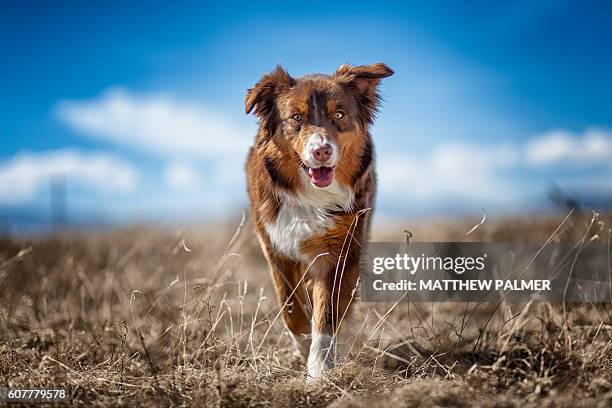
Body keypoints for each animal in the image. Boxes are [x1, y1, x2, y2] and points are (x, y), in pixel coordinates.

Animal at [244, 63, 392, 380]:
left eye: (339, 115)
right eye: (296, 118)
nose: (321, 151)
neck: (310, 195)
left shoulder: (339, 249)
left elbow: (326, 312)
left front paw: (320, 368)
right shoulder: (275, 246)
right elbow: (291, 308)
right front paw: (302, 345)